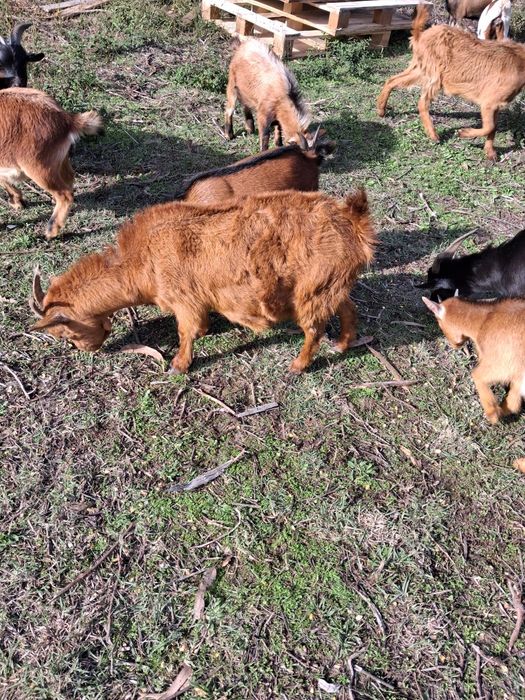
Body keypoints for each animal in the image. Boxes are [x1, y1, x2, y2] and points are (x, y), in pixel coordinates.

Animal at [0, 88, 103, 239]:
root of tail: (66, 119)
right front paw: (17, 201)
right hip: (59, 160)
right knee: (69, 177)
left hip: (39, 168)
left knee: (65, 195)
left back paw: (51, 231)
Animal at [29, 189, 375, 374]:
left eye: (65, 332)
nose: (86, 350)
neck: (141, 260)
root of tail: (352, 221)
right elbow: (200, 326)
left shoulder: (184, 300)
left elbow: (187, 332)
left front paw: (178, 365)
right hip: (330, 286)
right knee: (349, 308)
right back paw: (342, 343)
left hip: (311, 292)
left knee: (314, 329)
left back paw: (298, 365)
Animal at [377, 5, 525, 160]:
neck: (520, 60)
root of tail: (421, 36)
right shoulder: (489, 102)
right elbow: (489, 127)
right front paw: (464, 133)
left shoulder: (495, 104)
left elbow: (493, 128)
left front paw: (490, 152)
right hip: (434, 74)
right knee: (422, 102)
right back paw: (433, 135)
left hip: (421, 69)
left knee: (392, 80)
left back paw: (381, 110)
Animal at [422, 295, 525, 424]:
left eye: (439, 323)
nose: (454, 345)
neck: (482, 322)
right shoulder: (517, 377)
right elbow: (513, 403)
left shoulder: (501, 364)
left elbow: (476, 375)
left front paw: (492, 414)